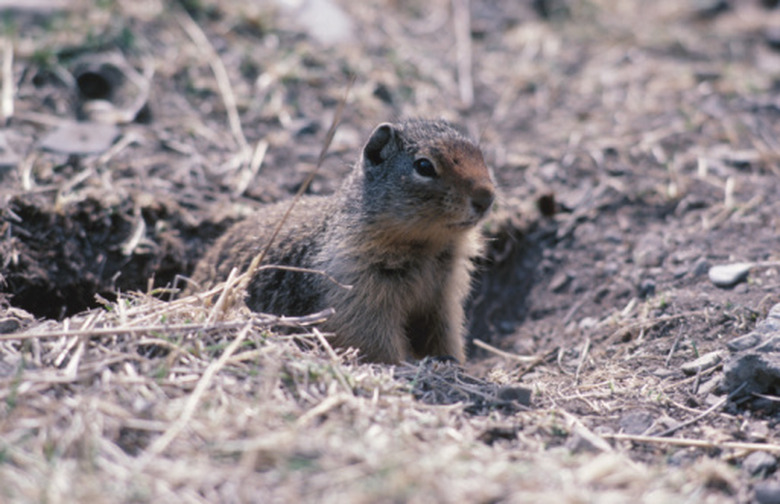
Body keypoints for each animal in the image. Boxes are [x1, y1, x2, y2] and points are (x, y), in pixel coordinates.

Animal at [190, 119, 494, 362]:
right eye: (424, 166)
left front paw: (452, 363)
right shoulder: (354, 285)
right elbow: (369, 337)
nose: (487, 197)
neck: (428, 248)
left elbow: (444, 333)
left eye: (480, 155)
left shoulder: (444, 297)